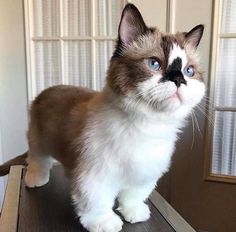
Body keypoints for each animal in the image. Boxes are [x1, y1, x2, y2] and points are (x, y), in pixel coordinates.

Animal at [0, 3, 205, 232]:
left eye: (189, 71)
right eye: (154, 64)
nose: (179, 80)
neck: (147, 125)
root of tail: (50, 88)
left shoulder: (143, 173)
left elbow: (134, 196)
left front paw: (133, 212)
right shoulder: (94, 176)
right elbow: (97, 202)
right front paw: (104, 222)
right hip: (38, 141)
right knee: (37, 159)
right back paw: (36, 179)